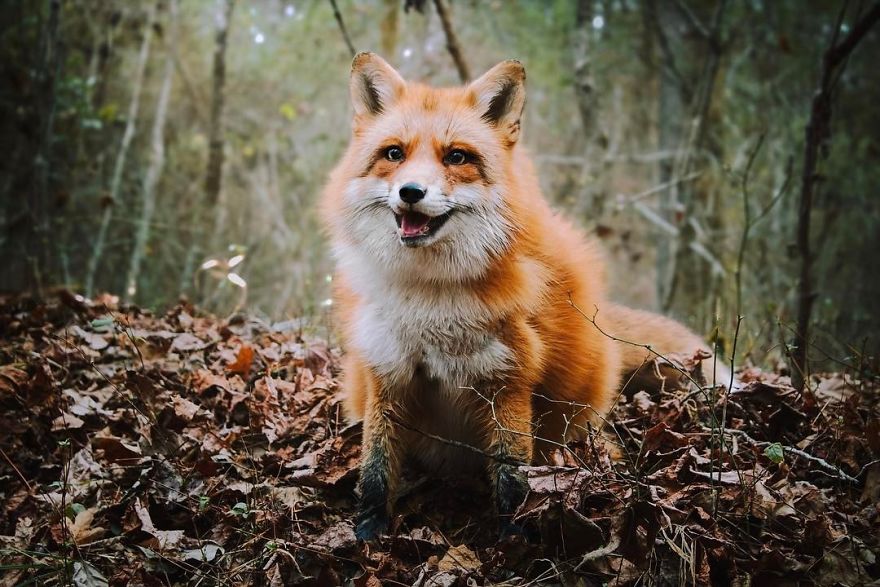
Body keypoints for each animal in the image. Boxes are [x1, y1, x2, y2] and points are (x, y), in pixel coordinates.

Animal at [320, 53, 730, 540]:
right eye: (394, 154)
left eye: (456, 156)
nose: (411, 192)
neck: (429, 299)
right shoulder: (388, 373)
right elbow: (376, 469)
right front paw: (368, 533)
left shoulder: (508, 379)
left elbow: (512, 475)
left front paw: (514, 540)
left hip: (577, 423)